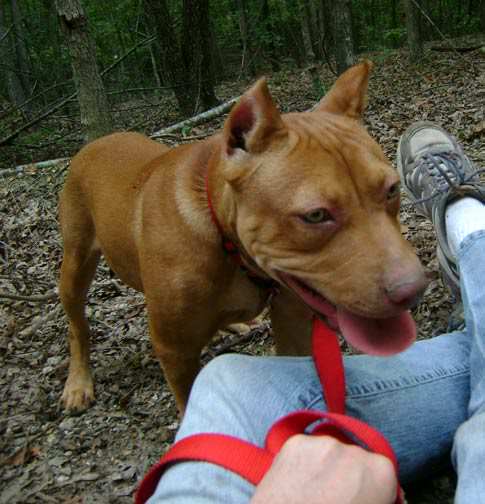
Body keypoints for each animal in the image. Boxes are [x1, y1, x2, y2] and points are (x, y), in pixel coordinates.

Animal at [59, 62, 428, 414]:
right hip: (75, 265)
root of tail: (96, 142)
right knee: (78, 328)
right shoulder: (175, 352)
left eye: (392, 190)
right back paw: (78, 383)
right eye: (316, 216)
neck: (225, 242)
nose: (413, 291)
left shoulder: (292, 319)